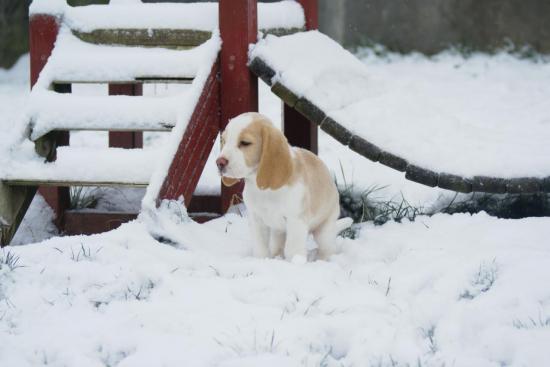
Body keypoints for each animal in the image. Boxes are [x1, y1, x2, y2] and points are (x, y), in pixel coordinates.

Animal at [218, 111, 352, 262]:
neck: (265, 190)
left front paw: (295, 263)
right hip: (279, 231)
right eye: (224, 141)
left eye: (245, 143)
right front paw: (261, 261)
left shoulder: (296, 221)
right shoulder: (256, 220)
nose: (219, 162)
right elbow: (260, 248)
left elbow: (292, 250)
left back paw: (322, 259)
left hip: (323, 231)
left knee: (328, 248)